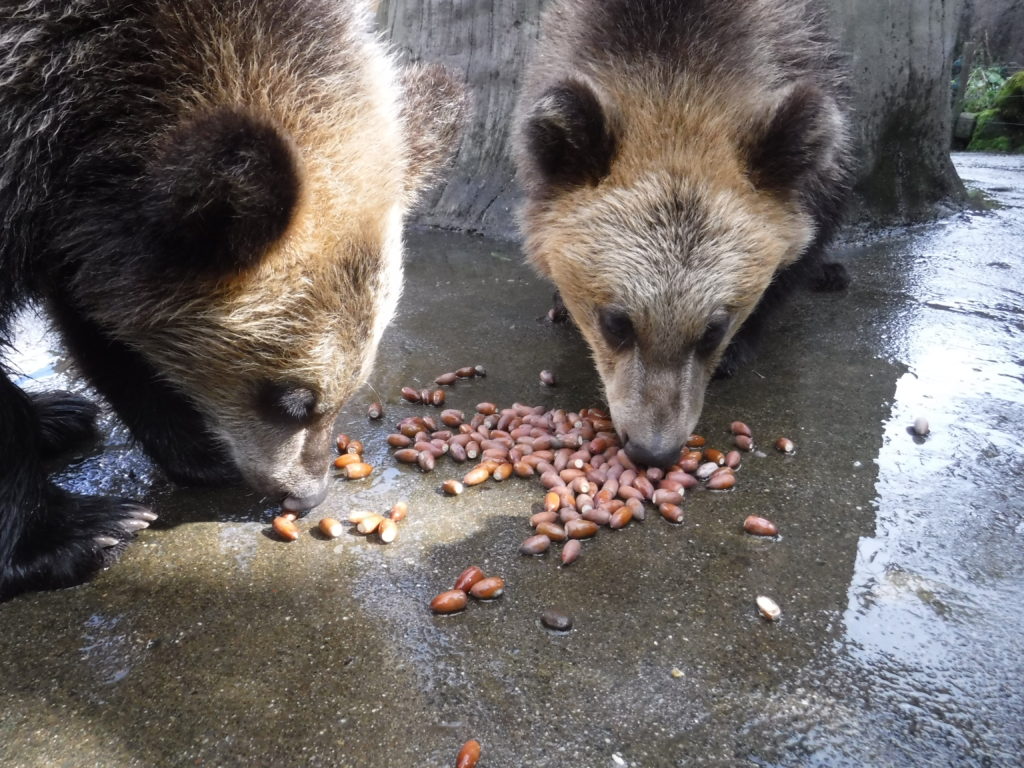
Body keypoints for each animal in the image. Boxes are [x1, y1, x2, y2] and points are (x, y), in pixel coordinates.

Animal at [0, 0, 465, 600]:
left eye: (354, 387)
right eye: (291, 399)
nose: (307, 495)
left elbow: (107, 328)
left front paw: (194, 444)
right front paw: (79, 532)